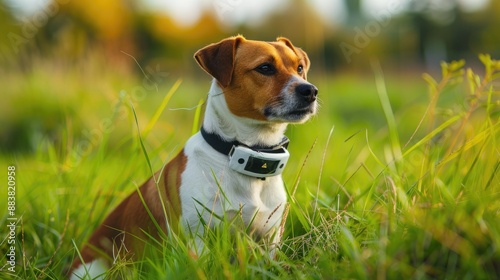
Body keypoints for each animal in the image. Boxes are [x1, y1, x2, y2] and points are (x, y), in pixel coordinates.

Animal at [69, 36, 318, 278]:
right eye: (265, 67)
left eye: (299, 68)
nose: (310, 91)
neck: (244, 155)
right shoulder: (197, 239)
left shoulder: (269, 239)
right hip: (93, 269)